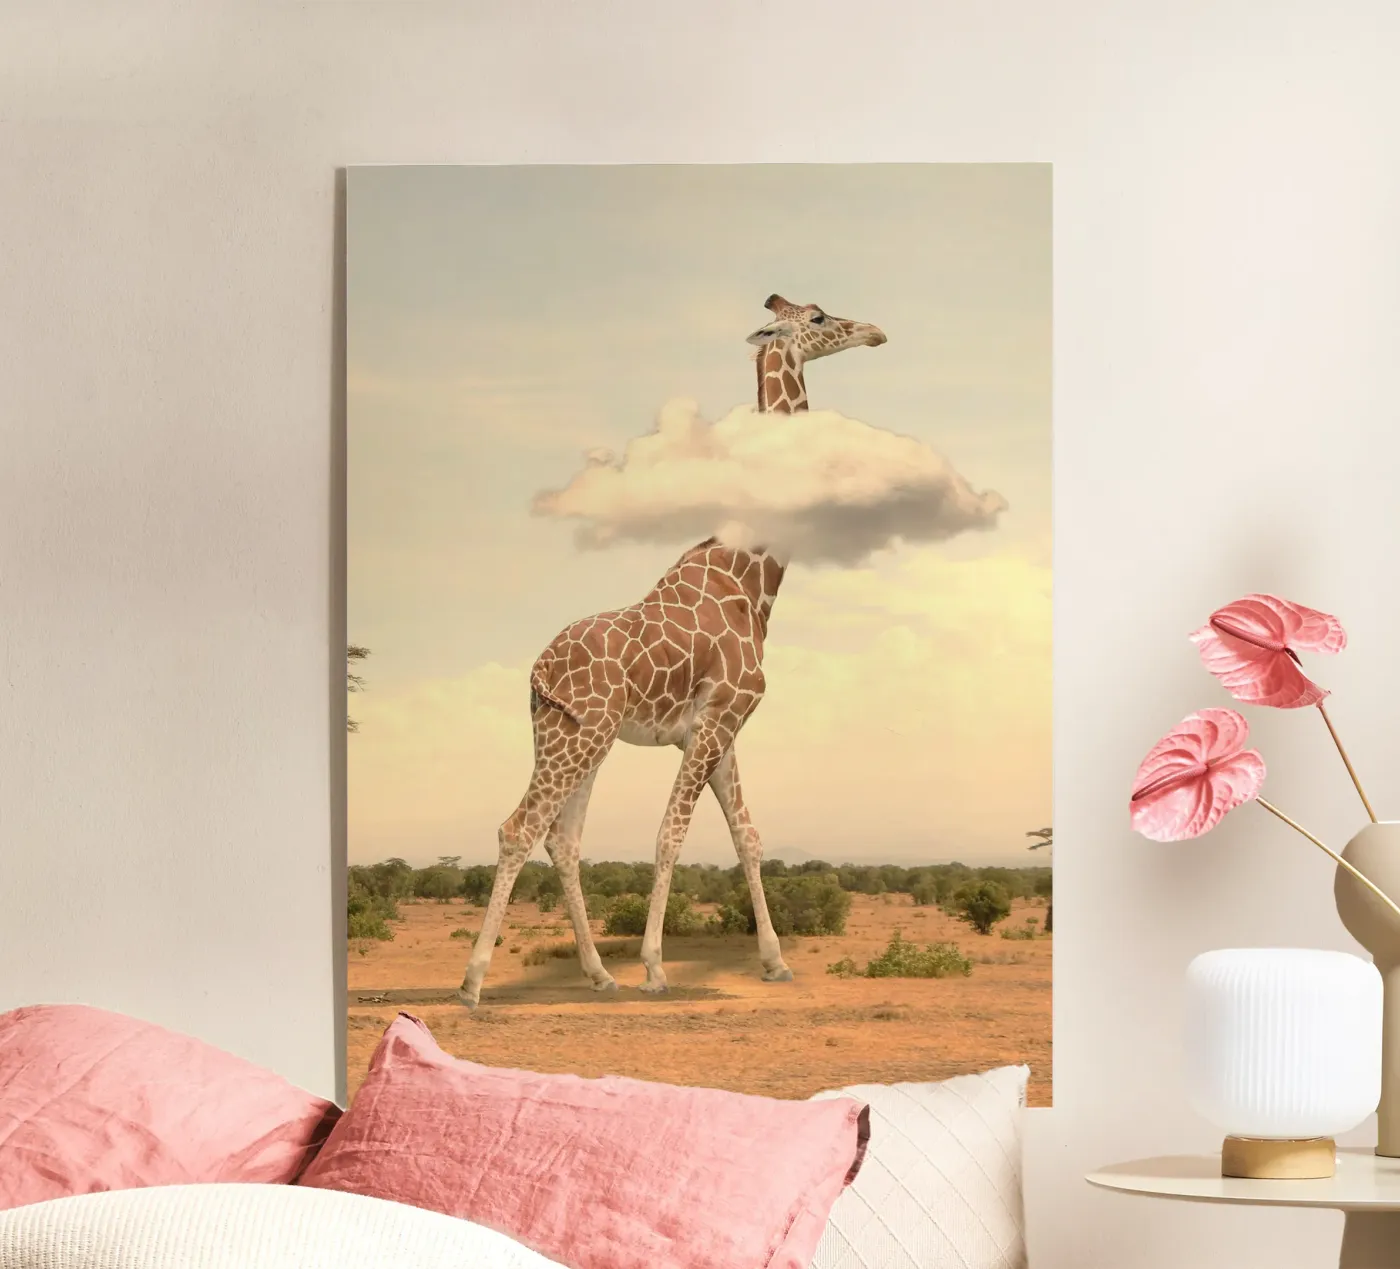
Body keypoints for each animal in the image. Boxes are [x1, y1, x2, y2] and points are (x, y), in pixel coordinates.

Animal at [457, 294, 887, 1007]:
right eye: (821, 317)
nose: (875, 332)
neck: (751, 579)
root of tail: (537, 673)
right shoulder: (716, 722)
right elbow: (670, 835)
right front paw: (656, 968)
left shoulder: (720, 729)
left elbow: (748, 836)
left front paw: (774, 962)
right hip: (581, 736)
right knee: (520, 827)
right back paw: (473, 982)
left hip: (572, 735)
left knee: (562, 839)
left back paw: (599, 974)